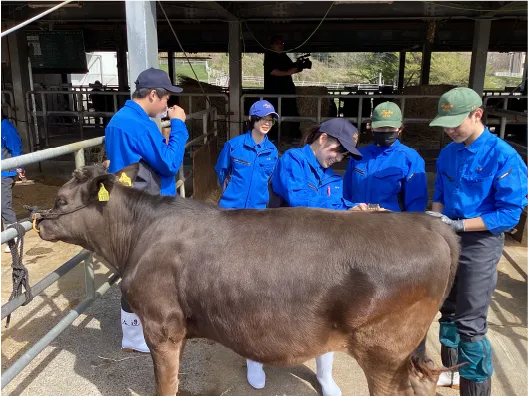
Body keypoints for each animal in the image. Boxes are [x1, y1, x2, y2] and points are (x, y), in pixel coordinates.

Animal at [35, 163, 460, 392]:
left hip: (384, 352)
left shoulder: (161, 324)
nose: (37, 221)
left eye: (60, 200)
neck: (141, 233)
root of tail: (429, 224)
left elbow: (165, 384)